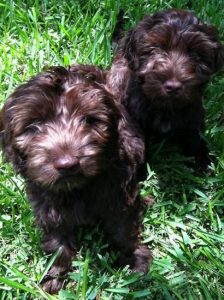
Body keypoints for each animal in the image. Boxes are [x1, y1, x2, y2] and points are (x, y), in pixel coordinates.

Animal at [0, 65, 152, 292]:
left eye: (91, 120)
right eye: (34, 125)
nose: (67, 164)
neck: (78, 189)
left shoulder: (119, 193)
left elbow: (122, 227)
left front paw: (134, 259)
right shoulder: (46, 203)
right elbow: (56, 239)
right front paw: (54, 274)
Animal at [107, 9, 224, 171]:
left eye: (195, 54)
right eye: (157, 49)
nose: (173, 86)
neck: (166, 107)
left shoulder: (194, 112)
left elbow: (194, 134)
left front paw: (202, 158)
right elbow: (138, 141)